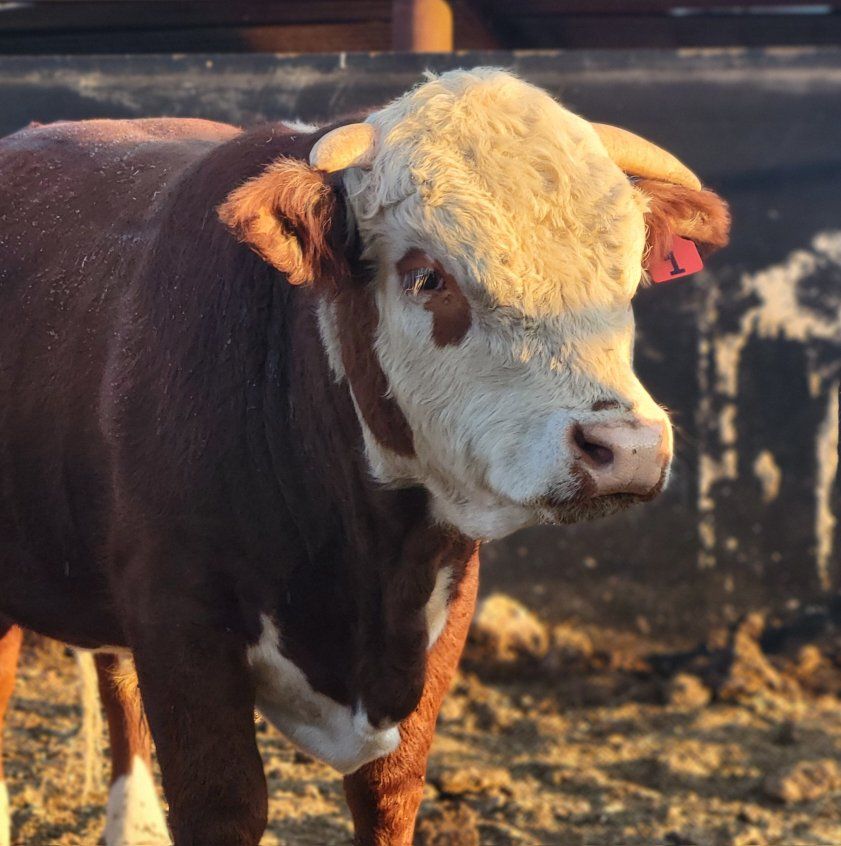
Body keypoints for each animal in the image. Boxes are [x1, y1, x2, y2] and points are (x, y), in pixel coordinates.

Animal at [0, 67, 729, 846]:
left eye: (625, 278)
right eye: (425, 276)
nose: (626, 448)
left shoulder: (438, 621)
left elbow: (387, 791)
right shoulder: (179, 621)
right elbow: (225, 800)